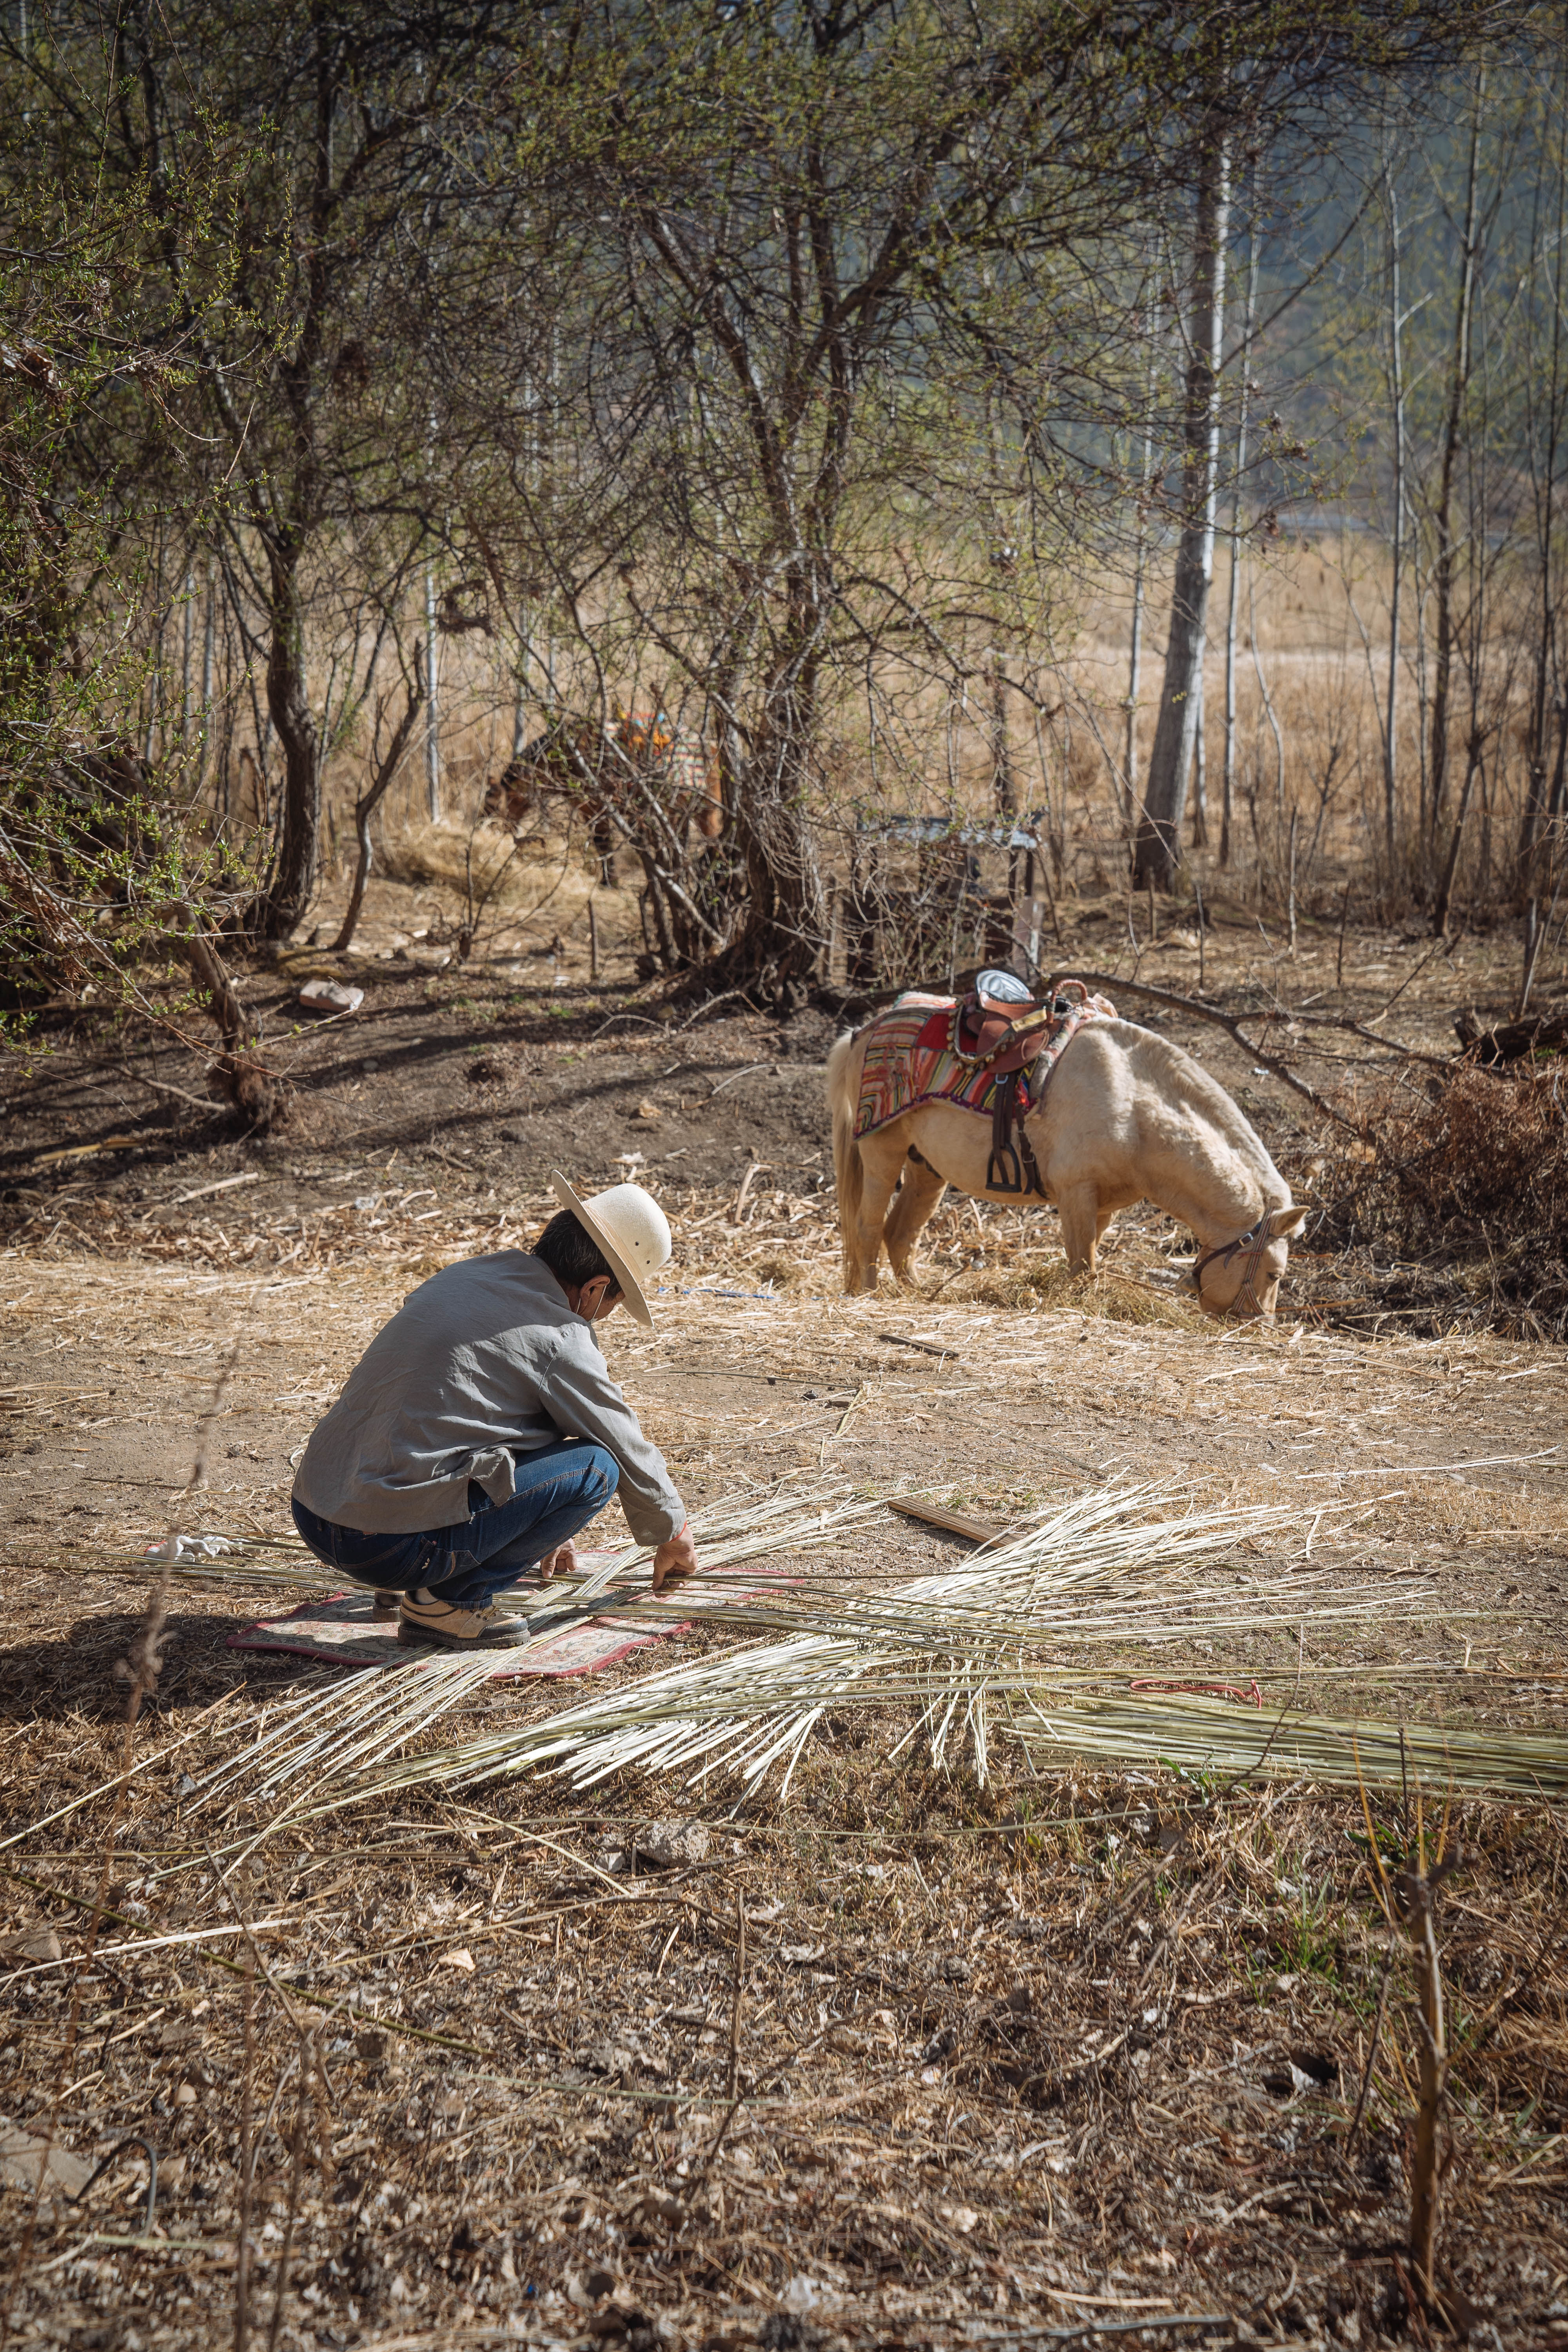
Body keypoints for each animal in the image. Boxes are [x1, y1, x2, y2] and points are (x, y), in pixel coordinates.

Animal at [832, 1016, 1316, 1327]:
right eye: (1275, 1275)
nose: (1260, 1327)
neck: (1132, 1104)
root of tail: (862, 1032)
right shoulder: (1076, 1194)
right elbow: (1081, 1265)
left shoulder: (1103, 1207)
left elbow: (1091, 1263)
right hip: (882, 1151)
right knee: (868, 1227)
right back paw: (869, 1294)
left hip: (926, 1168)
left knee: (899, 1234)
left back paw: (915, 1294)